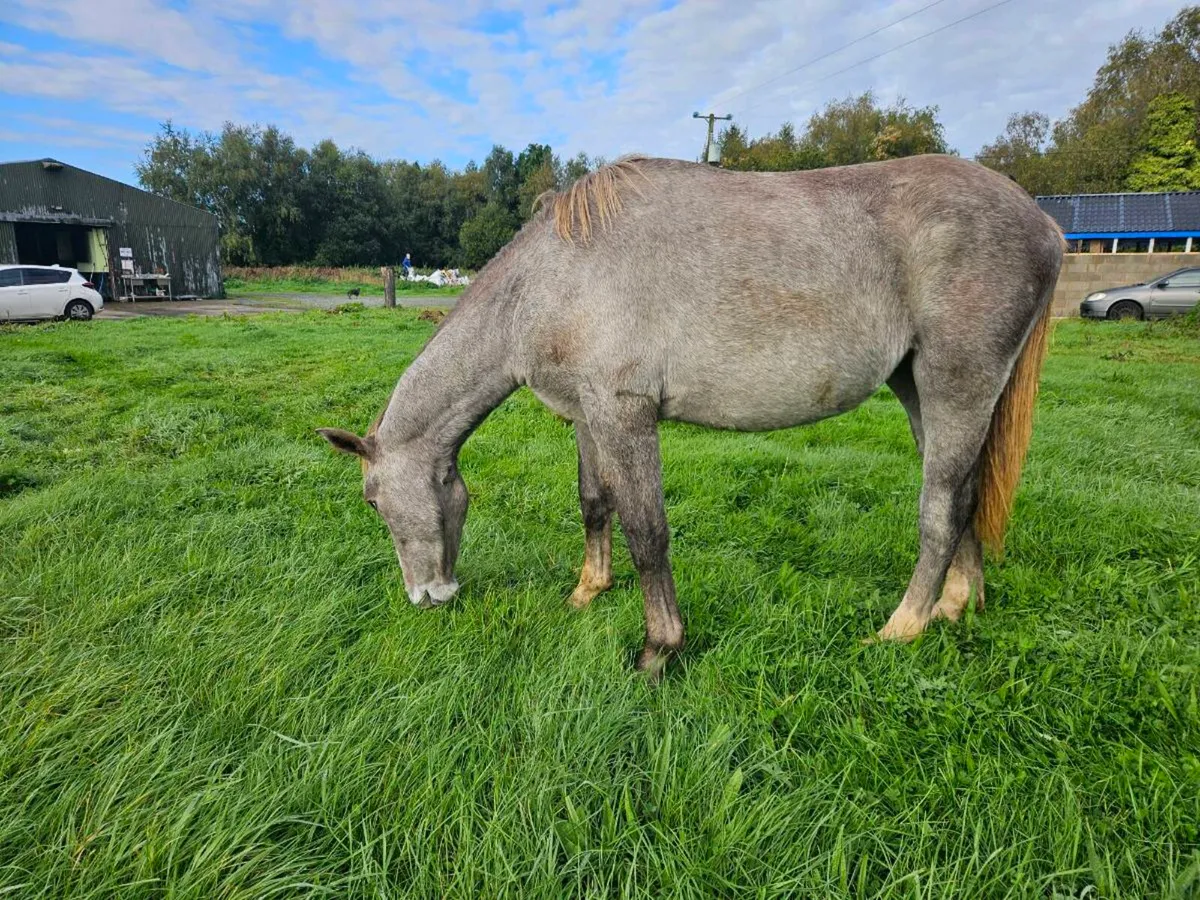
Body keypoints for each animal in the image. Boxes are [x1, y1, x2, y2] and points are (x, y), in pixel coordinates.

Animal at [318, 154, 1063, 677]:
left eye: (373, 501)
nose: (428, 596)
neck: (550, 278)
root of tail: (1045, 225)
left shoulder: (627, 416)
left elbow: (648, 532)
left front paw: (660, 649)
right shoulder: (590, 415)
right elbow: (595, 502)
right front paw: (587, 592)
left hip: (954, 385)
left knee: (942, 505)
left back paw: (903, 627)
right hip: (921, 391)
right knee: (968, 492)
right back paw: (956, 606)